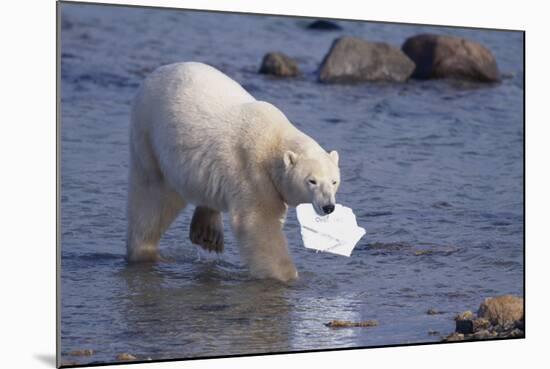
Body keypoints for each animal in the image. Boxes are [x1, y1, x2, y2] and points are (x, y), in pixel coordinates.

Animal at [127, 61, 340, 280]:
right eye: (312, 181)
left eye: (334, 181)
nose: (328, 207)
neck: (274, 141)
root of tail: (157, 72)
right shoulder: (253, 172)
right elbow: (258, 224)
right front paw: (288, 276)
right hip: (149, 137)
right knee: (152, 200)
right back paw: (146, 252)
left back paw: (207, 234)